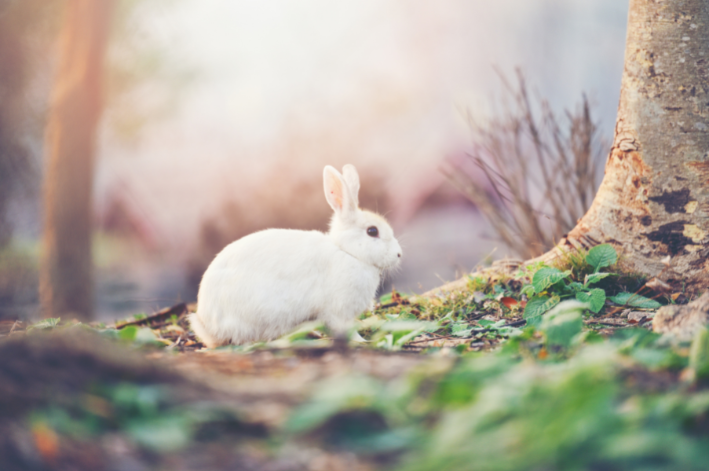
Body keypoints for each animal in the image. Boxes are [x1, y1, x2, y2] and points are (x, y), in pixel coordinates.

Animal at [188, 164, 402, 348]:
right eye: (372, 231)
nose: (399, 254)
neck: (348, 252)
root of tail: (209, 328)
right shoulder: (338, 312)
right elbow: (345, 329)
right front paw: (363, 341)